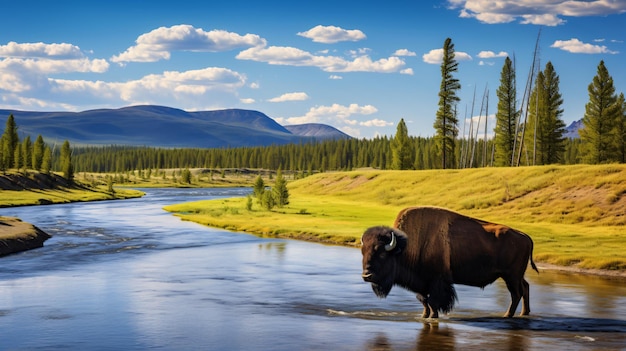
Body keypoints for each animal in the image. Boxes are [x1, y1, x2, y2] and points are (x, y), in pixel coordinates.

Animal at [360, 206, 536, 320]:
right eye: (363, 252)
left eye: (382, 253)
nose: (366, 276)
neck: (405, 247)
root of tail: (525, 236)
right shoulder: (422, 283)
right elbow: (424, 300)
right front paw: (424, 315)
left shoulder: (437, 280)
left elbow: (433, 301)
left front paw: (433, 316)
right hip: (516, 276)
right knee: (525, 288)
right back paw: (524, 313)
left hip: (511, 276)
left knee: (516, 293)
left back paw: (508, 315)